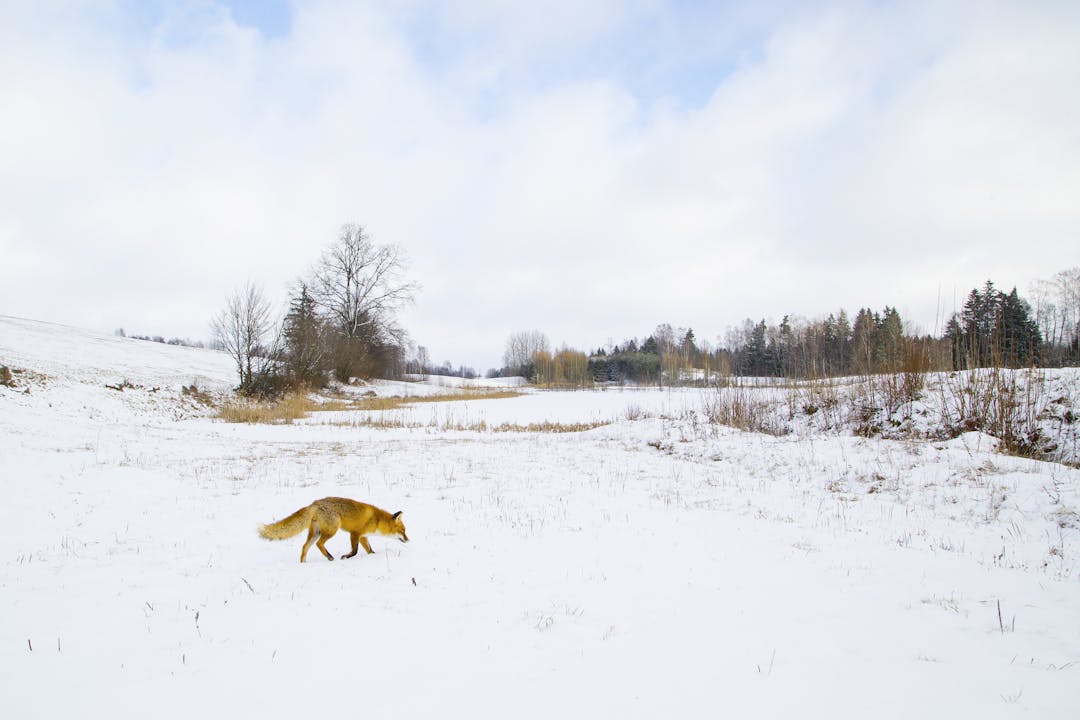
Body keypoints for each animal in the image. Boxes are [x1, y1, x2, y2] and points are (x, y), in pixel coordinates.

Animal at [258, 496, 408, 561]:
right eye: (403, 531)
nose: (408, 539)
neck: (377, 520)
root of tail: (314, 503)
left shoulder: (363, 537)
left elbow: (370, 550)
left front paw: (373, 556)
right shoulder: (355, 533)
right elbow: (354, 551)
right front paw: (346, 557)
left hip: (315, 532)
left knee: (305, 547)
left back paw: (304, 564)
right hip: (331, 530)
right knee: (319, 544)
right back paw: (330, 557)